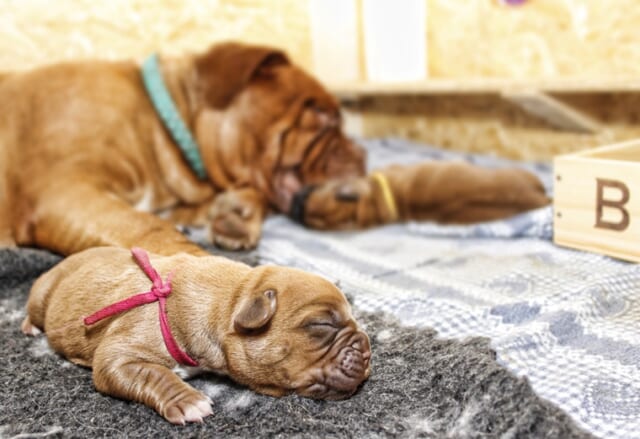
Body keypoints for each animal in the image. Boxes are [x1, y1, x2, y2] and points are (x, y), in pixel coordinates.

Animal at [21, 248, 370, 422]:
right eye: (322, 325)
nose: (367, 352)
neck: (230, 298)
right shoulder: (120, 353)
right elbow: (151, 372)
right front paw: (190, 403)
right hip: (43, 294)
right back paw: (28, 326)